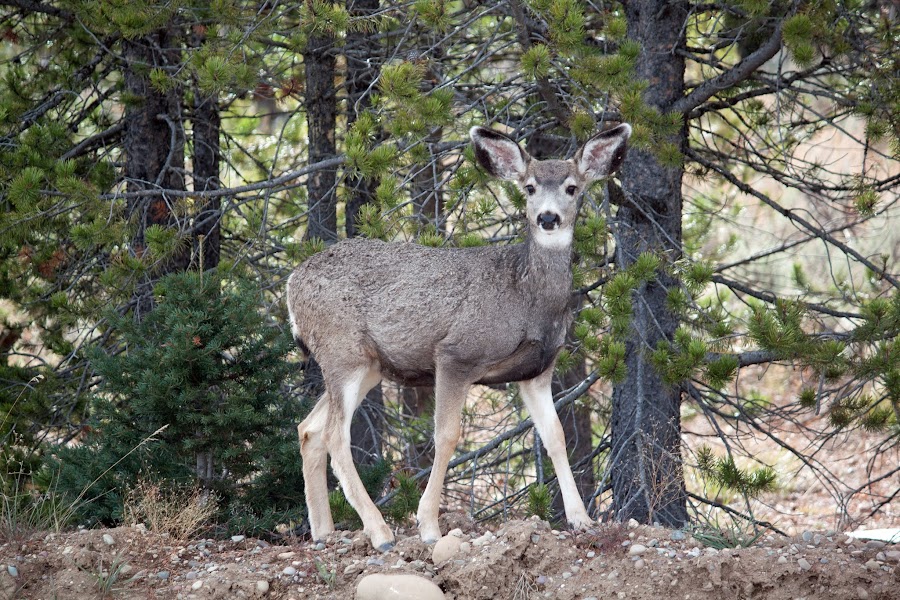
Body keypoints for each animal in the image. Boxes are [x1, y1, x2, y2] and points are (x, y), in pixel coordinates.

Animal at [288, 123, 632, 552]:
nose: (548, 217)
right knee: (335, 436)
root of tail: (291, 284)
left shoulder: (537, 370)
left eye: (571, 187)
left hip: (367, 365)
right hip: (342, 352)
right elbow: (447, 435)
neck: (527, 298)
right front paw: (428, 526)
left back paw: (324, 531)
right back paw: (380, 532)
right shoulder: (456, 355)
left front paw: (581, 519)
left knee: (309, 429)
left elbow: (555, 436)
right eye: (530, 187)